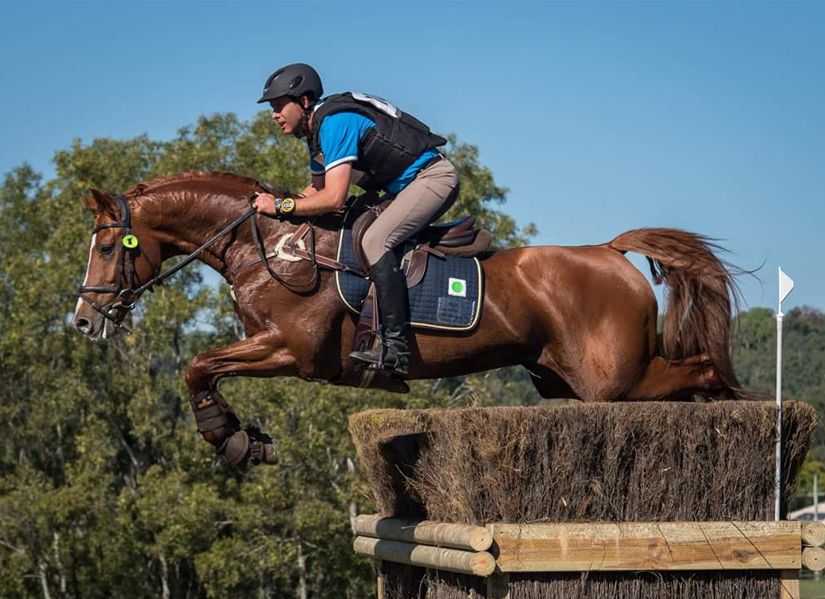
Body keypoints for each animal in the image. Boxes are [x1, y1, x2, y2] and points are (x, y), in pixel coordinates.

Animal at [73, 171, 741, 468]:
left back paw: (731, 414)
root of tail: (609, 251)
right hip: (560, 381)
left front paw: (231, 438)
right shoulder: (272, 348)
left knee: (704, 369)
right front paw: (244, 436)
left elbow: (197, 366)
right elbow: (204, 368)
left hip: (611, 380)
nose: (83, 321)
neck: (268, 245)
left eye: (107, 246)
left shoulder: (291, 351)